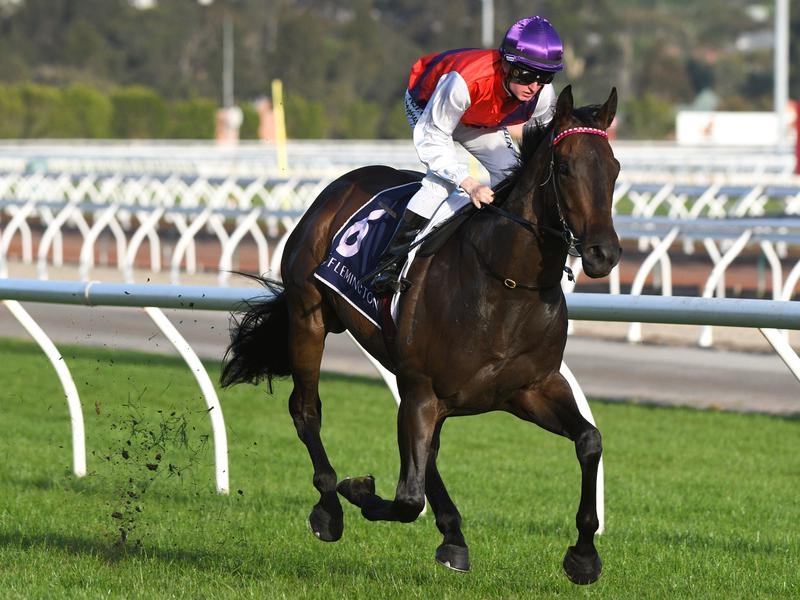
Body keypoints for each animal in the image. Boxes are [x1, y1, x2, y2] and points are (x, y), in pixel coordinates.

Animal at [220, 85, 621, 585]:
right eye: (565, 168)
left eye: (614, 169)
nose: (604, 253)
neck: (505, 284)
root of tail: (338, 188)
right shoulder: (422, 390)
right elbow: (407, 499)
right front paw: (358, 489)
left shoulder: (531, 388)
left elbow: (590, 441)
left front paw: (583, 555)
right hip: (308, 317)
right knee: (306, 410)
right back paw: (330, 507)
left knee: (426, 453)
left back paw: (452, 534)